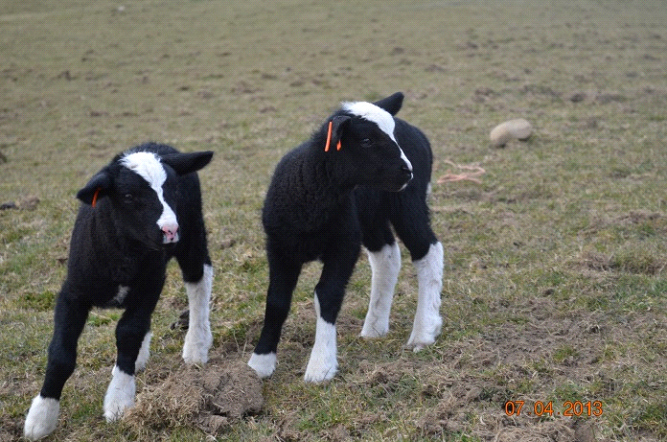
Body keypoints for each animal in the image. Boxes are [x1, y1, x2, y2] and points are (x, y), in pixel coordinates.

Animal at [23, 143, 215, 440]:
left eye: (172, 189)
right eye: (128, 196)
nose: (170, 230)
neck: (124, 254)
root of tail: (159, 145)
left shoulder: (149, 286)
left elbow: (128, 333)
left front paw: (119, 399)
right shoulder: (73, 293)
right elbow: (60, 354)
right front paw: (41, 417)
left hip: (193, 232)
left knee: (199, 280)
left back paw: (196, 345)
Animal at [249, 91, 444, 382]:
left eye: (392, 135)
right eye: (366, 140)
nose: (407, 170)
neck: (311, 196)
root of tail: (416, 131)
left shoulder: (344, 245)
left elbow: (327, 294)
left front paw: (320, 367)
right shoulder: (280, 247)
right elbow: (276, 300)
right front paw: (259, 364)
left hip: (407, 202)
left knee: (428, 250)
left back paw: (423, 332)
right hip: (370, 214)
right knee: (387, 255)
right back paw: (374, 327)